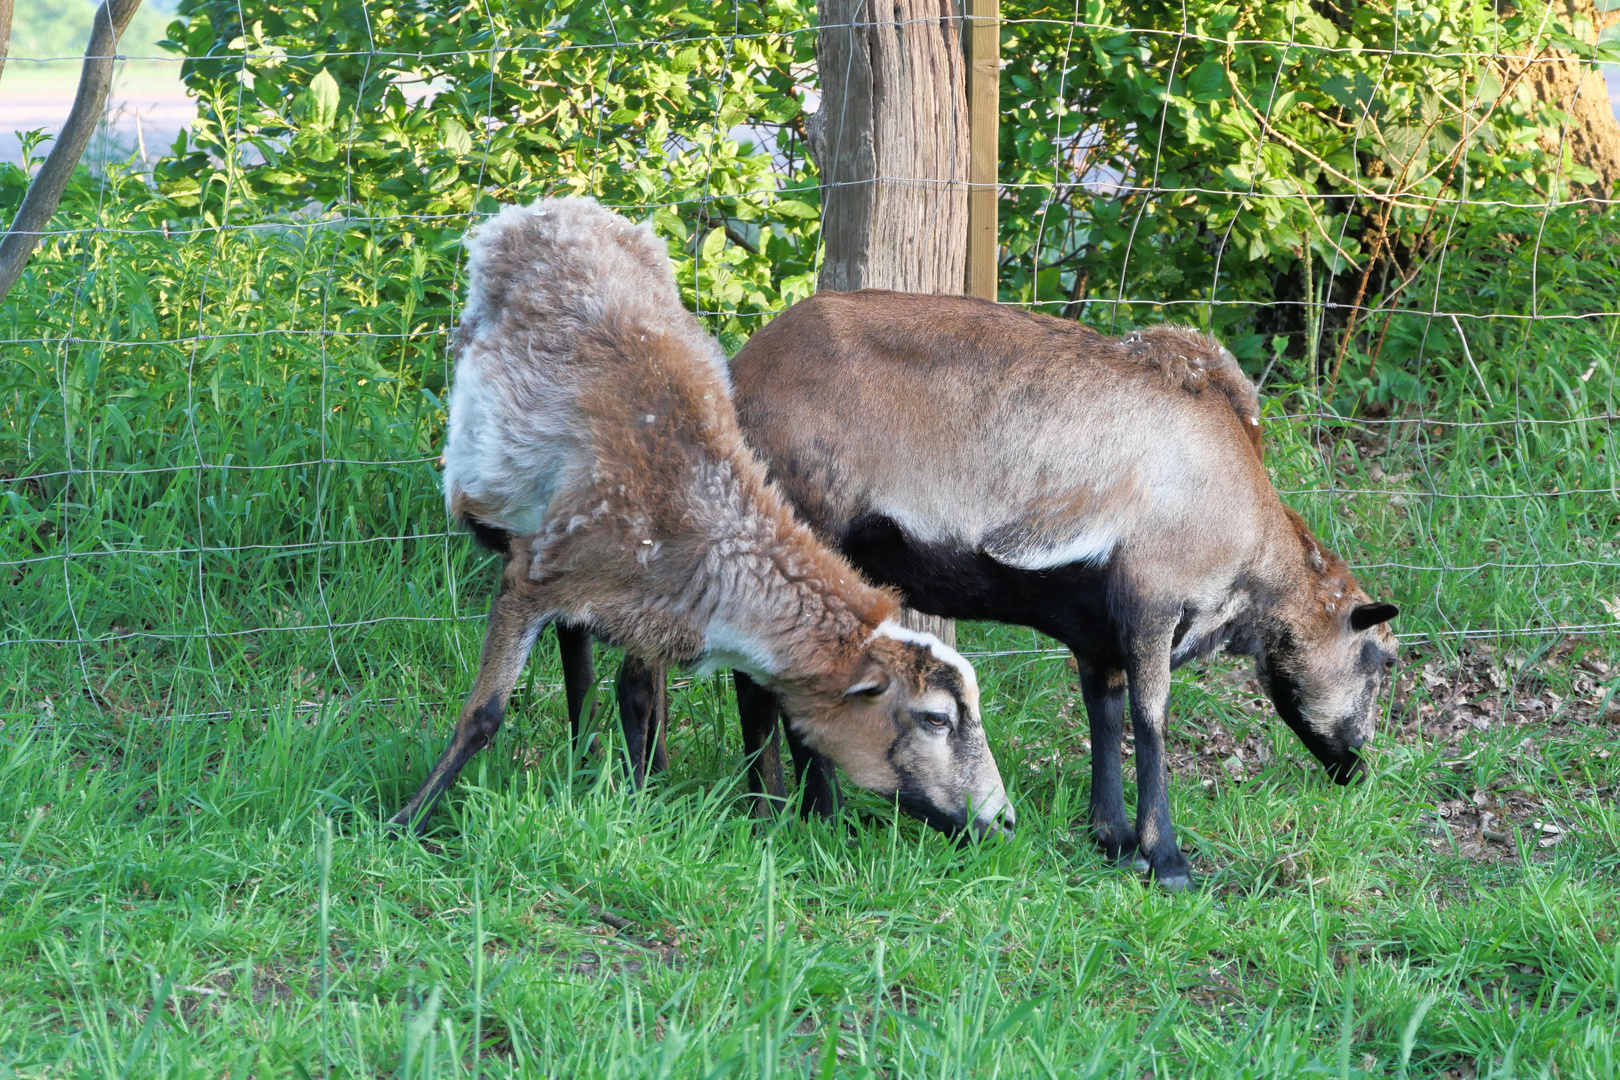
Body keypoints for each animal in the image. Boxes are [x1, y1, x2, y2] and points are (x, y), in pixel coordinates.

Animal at [387, 202, 1010, 841]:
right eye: (935, 719)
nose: (1004, 821)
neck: (710, 520)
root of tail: (554, 207)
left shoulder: (652, 610)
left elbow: (637, 695)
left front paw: (641, 801)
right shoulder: (529, 578)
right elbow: (484, 714)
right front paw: (403, 824)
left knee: (583, 654)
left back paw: (588, 760)